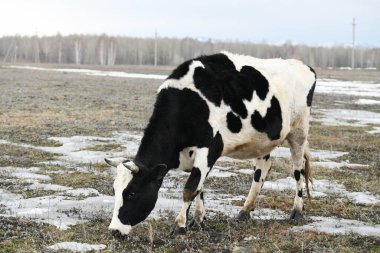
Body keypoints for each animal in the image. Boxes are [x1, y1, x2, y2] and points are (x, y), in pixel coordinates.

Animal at [104, 51, 314, 235]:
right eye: (115, 191)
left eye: (131, 193)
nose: (114, 231)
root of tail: (303, 65)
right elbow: (200, 188)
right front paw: (198, 220)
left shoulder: (210, 148)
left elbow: (190, 188)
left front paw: (180, 225)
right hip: (262, 140)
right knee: (262, 169)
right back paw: (245, 210)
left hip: (298, 131)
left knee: (298, 169)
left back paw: (297, 211)